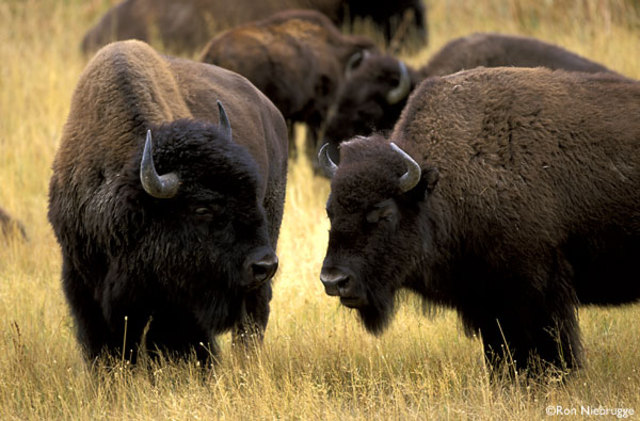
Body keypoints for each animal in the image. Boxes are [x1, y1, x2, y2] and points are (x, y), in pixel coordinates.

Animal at [48, 40, 288, 364]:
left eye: (251, 196)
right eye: (202, 208)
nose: (264, 265)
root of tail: (273, 113)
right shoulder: (81, 280)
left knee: (253, 316)